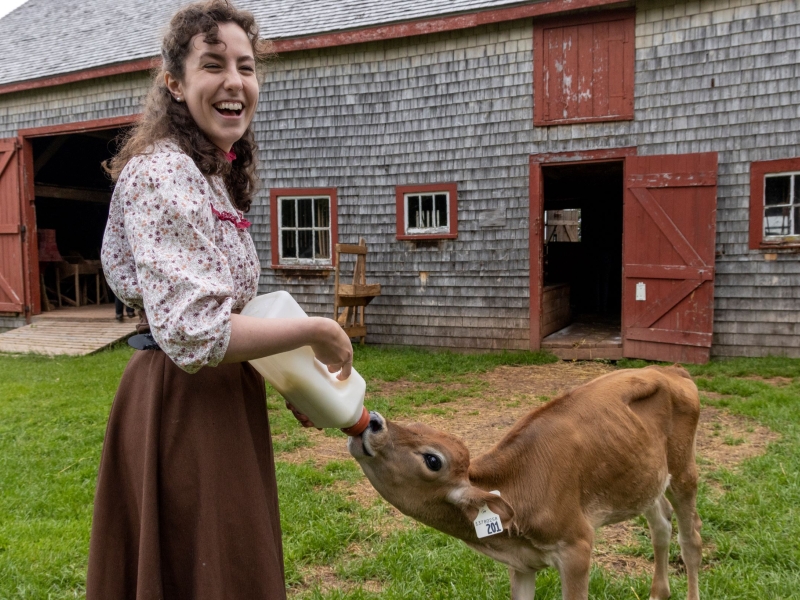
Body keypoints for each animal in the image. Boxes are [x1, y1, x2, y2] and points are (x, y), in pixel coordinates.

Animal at [348, 366, 700, 600]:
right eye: (418, 425)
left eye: (433, 460)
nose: (374, 421)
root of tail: (671, 369)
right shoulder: (521, 565)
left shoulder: (577, 546)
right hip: (645, 478)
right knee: (661, 523)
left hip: (684, 470)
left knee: (690, 541)